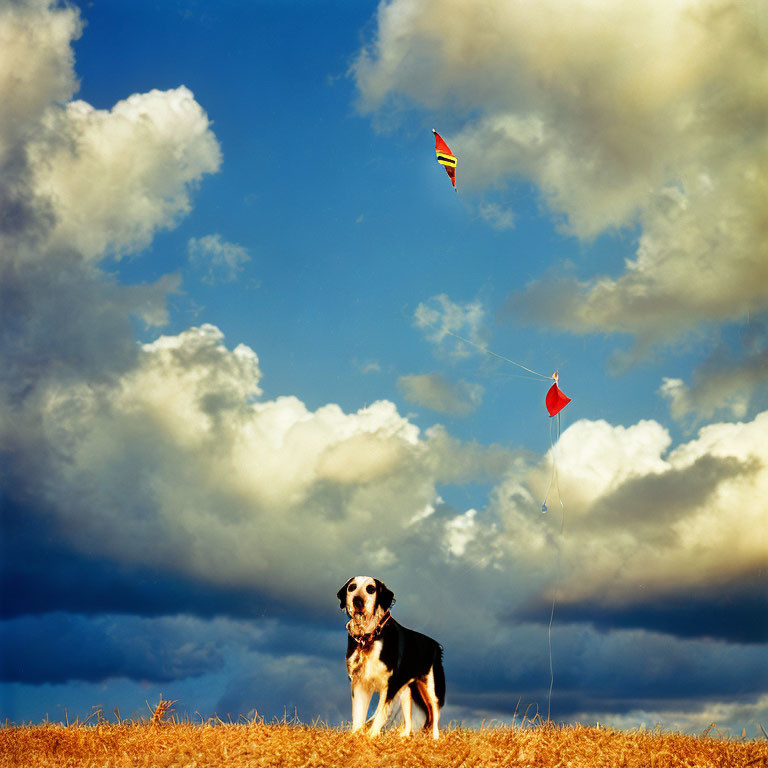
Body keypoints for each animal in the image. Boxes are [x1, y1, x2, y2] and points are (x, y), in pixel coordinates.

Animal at [336, 576, 444, 736]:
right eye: (352, 587)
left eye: (371, 589)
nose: (357, 601)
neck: (369, 637)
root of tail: (436, 645)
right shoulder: (360, 683)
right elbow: (358, 715)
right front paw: (356, 736)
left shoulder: (389, 685)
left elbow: (381, 713)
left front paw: (371, 736)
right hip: (406, 692)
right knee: (409, 720)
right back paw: (403, 737)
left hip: (431, 689)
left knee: (435, 718)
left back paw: (435, 739)